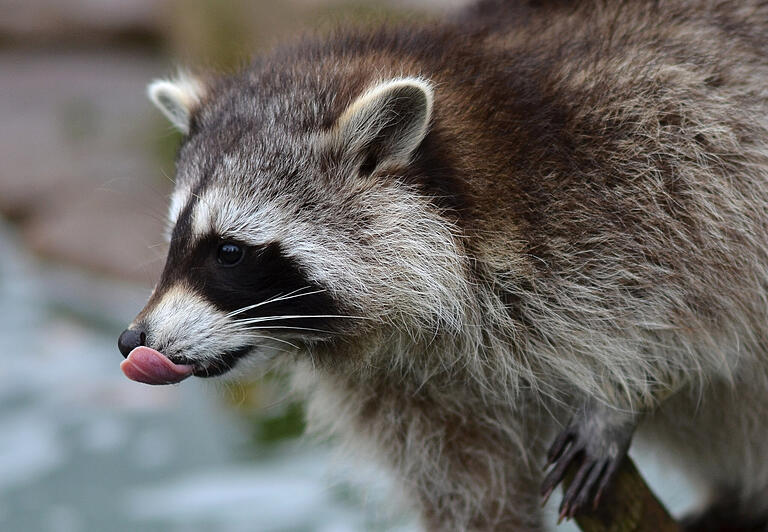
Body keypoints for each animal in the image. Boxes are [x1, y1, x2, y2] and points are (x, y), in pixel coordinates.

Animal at [117, 2, 768, 528]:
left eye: (228, 251)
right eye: (175, 242)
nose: (130, 339)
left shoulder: (663, 149)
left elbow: (702, 295)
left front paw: (624, 393)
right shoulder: (408, 391)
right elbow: (471, 491)